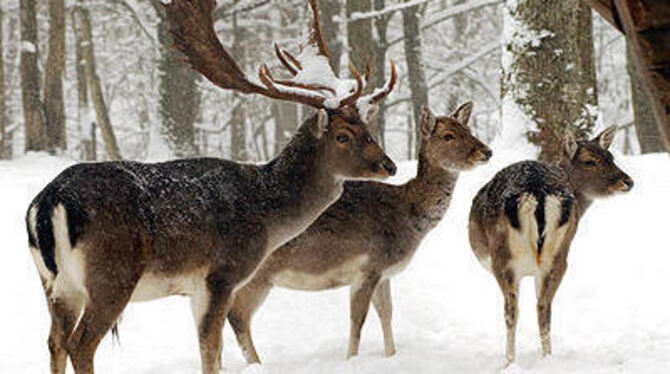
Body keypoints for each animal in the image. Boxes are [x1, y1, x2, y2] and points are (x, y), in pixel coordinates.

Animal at [26, 1, 400, 372]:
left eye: (367, 127)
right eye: (343, 136)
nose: (389, 165)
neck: (266, 213)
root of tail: (48, 202)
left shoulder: (195, 287)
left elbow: (213, 351)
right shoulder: (221, 273)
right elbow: (211, 347)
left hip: (56, 284)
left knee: (55, 341)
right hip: (111, 273)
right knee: (80, 344)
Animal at [228, 101, 490, 362]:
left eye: (468, 130)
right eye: (449, 135)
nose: (486, 151)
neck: (406, 214)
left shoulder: (384, 272)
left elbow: (387, 313)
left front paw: (391, 355)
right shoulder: (367, 266)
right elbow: (358, 321)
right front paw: (351, 359)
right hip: (256, 276)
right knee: (237, 315)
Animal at [468, 126, 636, 366]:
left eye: (611, 157)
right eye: (591, 161)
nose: (628, 182)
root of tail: (537, 192)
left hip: (507, 258)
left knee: (516, 309)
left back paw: (511, 361)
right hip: (555, 256)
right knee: (542, 306)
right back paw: (543, 358)